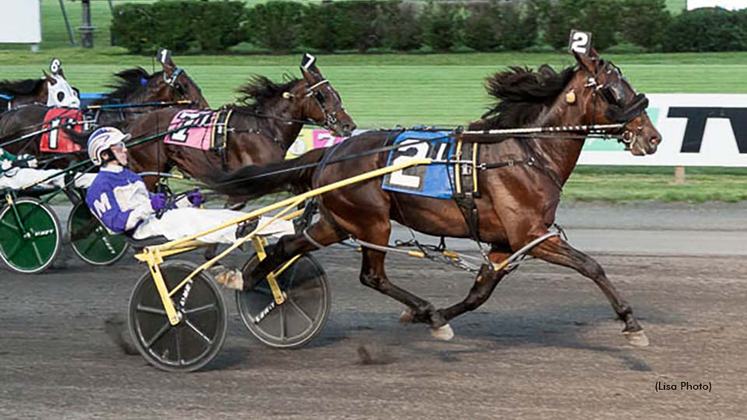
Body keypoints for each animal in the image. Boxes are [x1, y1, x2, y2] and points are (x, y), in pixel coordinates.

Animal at [122, 53, 356, 195]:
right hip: (148, 171)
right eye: (322, 95)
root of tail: (135, 124)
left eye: (336, 93)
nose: (348, 125)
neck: (264, 127)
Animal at [210, 49, 660, 346]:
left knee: (289, 244)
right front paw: (631, 323)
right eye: (614, 92)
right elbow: (591, 266)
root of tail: (332, 152)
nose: (653, 137)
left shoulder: (506, 243)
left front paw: (439, 315)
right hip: (371, 221)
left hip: (337, 222)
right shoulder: (533, 235)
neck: (527, 150)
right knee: (371, 275)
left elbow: (480, 293)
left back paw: (250, 280)